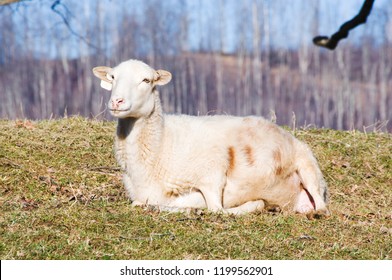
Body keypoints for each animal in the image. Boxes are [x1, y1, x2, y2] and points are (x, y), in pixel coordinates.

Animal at [93, 59, 330, 215]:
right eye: (112, 78)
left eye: (146, 80)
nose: (117, 101)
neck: (162, 145)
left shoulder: (212, 174)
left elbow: (213, 208)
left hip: (307, 167)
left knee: (322, 206)